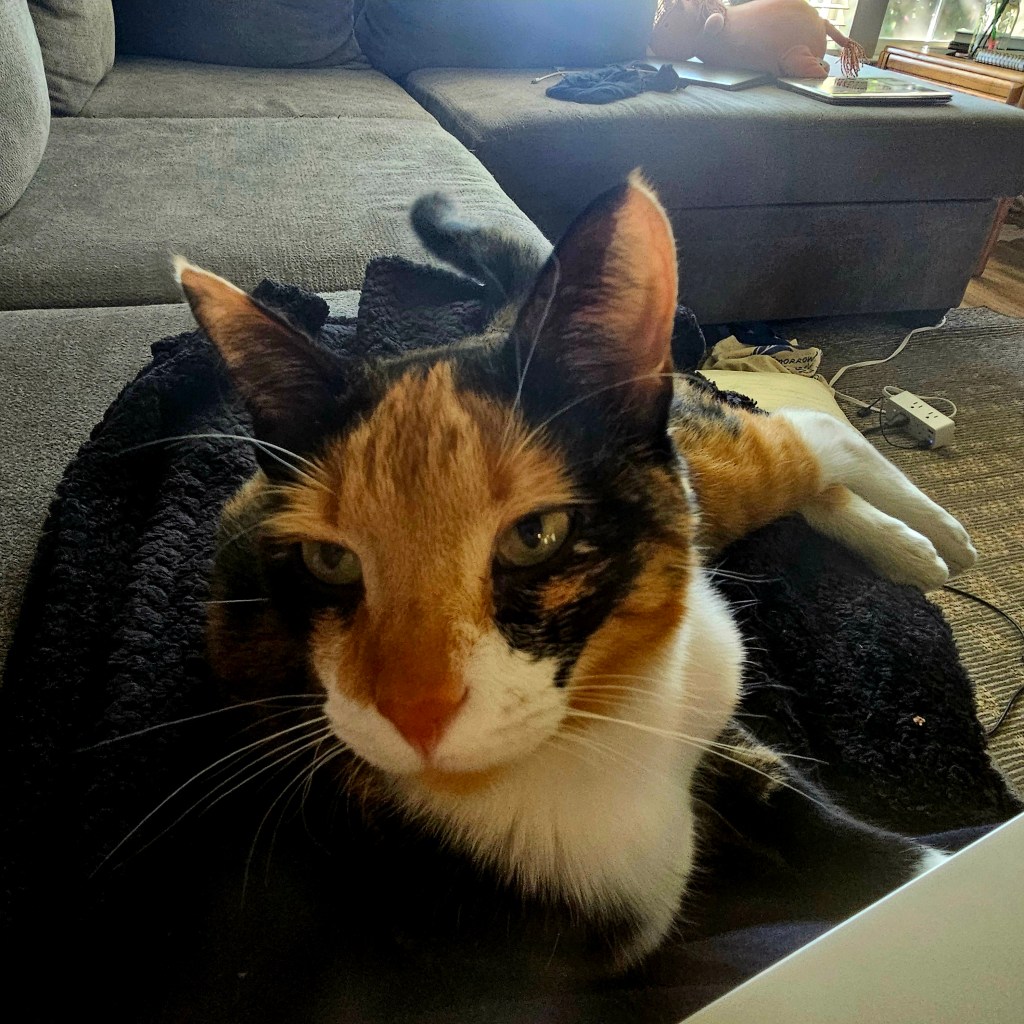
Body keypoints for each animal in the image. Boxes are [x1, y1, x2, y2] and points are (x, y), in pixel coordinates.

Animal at [174, 171, 976, 969]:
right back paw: (912, 545)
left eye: (536, 536)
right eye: (330, 559)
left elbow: (813, 809)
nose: (414, 712)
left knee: (811, 433)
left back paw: (937, 538)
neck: (598, 733)